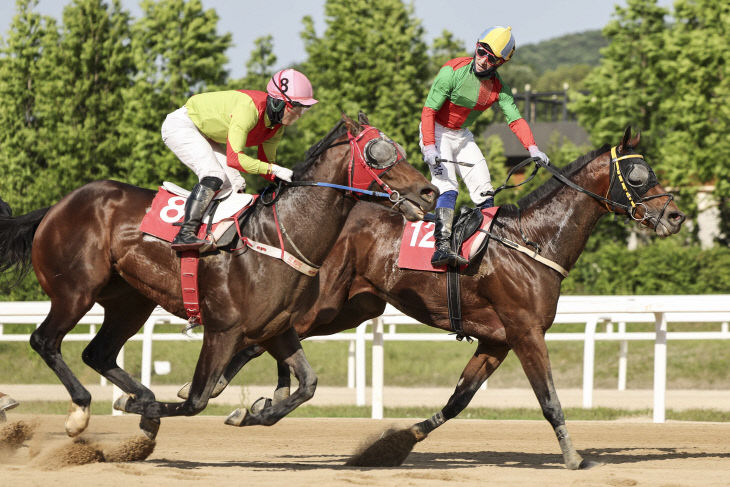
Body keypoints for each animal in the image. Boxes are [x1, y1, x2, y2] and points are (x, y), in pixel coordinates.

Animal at [0, 113, 432, 438]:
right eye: (380, 154)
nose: (428, 192)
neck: (278, 235)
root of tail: (55, 207)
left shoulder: (277, 328)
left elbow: (307, 384)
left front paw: (254, 411)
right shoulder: (222, 328)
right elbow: (196, 400)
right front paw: (143, 407)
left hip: (130, 302)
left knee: (98, 353)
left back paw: (136, 397)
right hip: (75, 291)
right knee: (45, 341)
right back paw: (81, 411)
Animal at [182, 129, 684, 468]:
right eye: (639, 175)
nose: (676, 216)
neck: (534, 241)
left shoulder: (496, 340)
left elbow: (459, 399)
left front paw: (400, 439)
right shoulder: (526, 332)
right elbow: (550, 400)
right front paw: (575, 458)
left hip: (351, 308)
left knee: (268, 340)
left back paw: (244, 397)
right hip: (320, 306)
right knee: (257, 338)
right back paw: (222, 394)